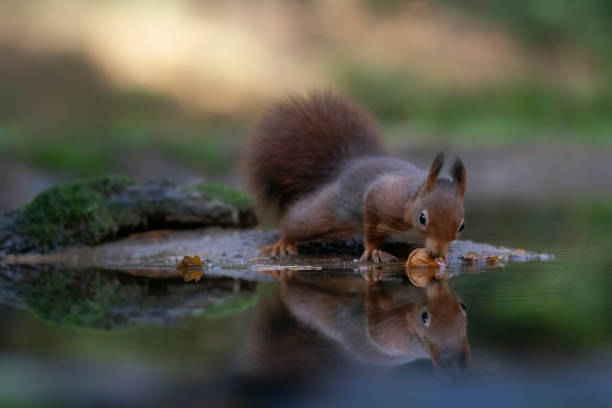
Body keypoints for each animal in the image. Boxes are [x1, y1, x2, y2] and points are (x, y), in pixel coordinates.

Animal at [246, 91, 466, 262]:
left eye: (462, 226)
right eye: (422, 218)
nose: (437, 254)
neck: (411, 199)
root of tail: (347, 165)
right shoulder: (381, 197)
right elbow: (370, 225)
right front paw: (374, 251)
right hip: (328, 212)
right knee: (297, 221)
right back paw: (283, 243)